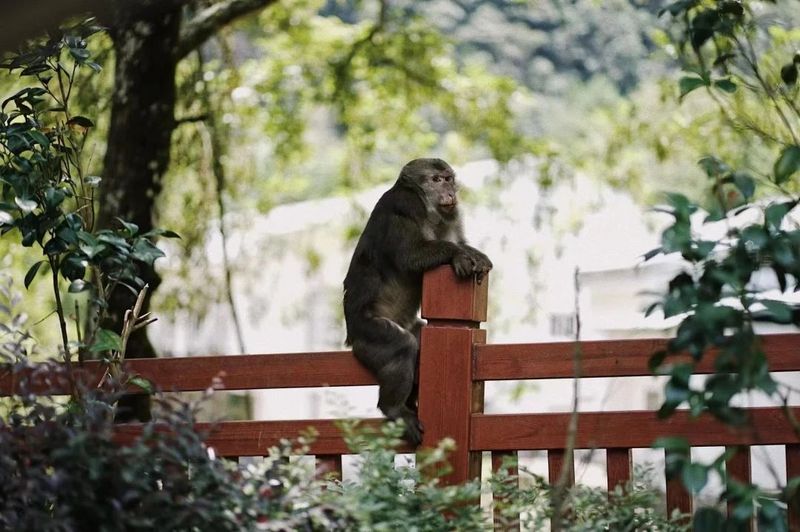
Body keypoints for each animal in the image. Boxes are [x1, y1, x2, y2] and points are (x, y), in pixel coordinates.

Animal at [346, 158, 494, 444]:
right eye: (435, 180)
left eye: (448, 179)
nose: (449, 192)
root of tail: (350, 335)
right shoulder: (406, 204)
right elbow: (410, 256)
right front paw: (458, 255)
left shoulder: (452, 214)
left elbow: (456, 239)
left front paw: (475, 255)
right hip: (368, 330)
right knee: (402, 345)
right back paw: (393, 408)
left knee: (419, 337)